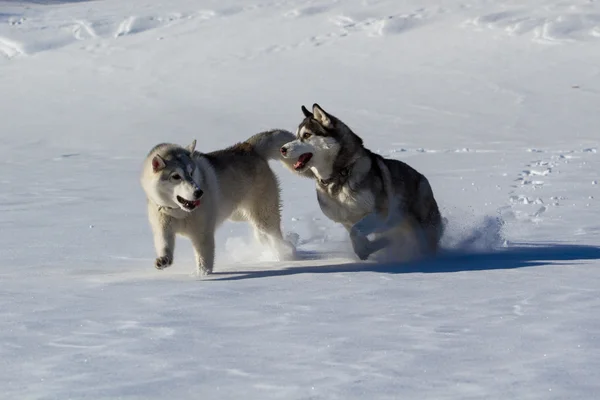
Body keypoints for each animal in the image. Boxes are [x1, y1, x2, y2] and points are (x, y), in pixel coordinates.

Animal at [141, 130, 300, 276]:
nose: (199, 192)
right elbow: (164, 246)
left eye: (191, 173)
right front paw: (163, 260)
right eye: (175, 176)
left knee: (274, 234)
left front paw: (203, 276)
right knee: (261, 234)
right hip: (239, 215)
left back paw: (286, 251)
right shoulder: (163, 227)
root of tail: (249, 147)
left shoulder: (203, 235)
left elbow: (204, 260)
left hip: (263, 215)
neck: (180, 212)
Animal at [278, 104, 442, 260]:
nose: (282, 149)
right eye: (296, 136)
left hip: (424, 224)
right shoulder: (346, 221)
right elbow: (357, 238)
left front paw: (373, 246)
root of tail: (422, 178)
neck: (339, 174)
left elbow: (356, 232)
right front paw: (371, 248)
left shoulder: (379, 213)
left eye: (306, 135)